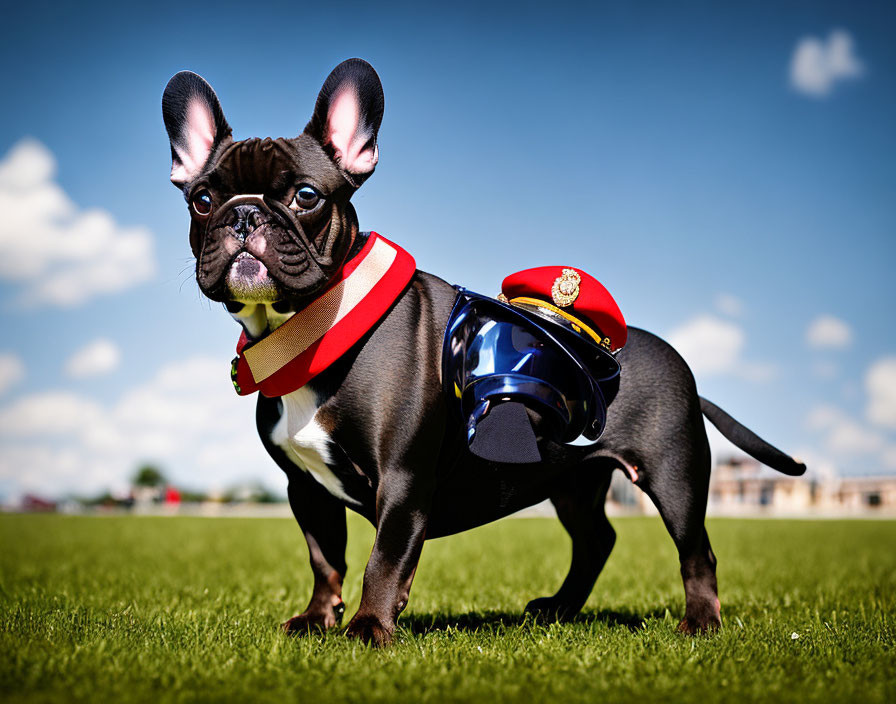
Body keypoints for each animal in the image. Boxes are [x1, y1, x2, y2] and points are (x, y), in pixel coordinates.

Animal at [161, 59, 804, 644]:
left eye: (305, 195)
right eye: (201, 200)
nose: (243, 213)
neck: (313, 327)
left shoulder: (403, 481)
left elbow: (383, 558)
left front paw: (369, 628)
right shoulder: (307, 488)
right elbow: (326, 559)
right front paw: (318, 619)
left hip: (672, 473)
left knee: (695, 550)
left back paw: (700, 623)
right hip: (571, 478)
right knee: (597, 540)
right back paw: (559, 609)